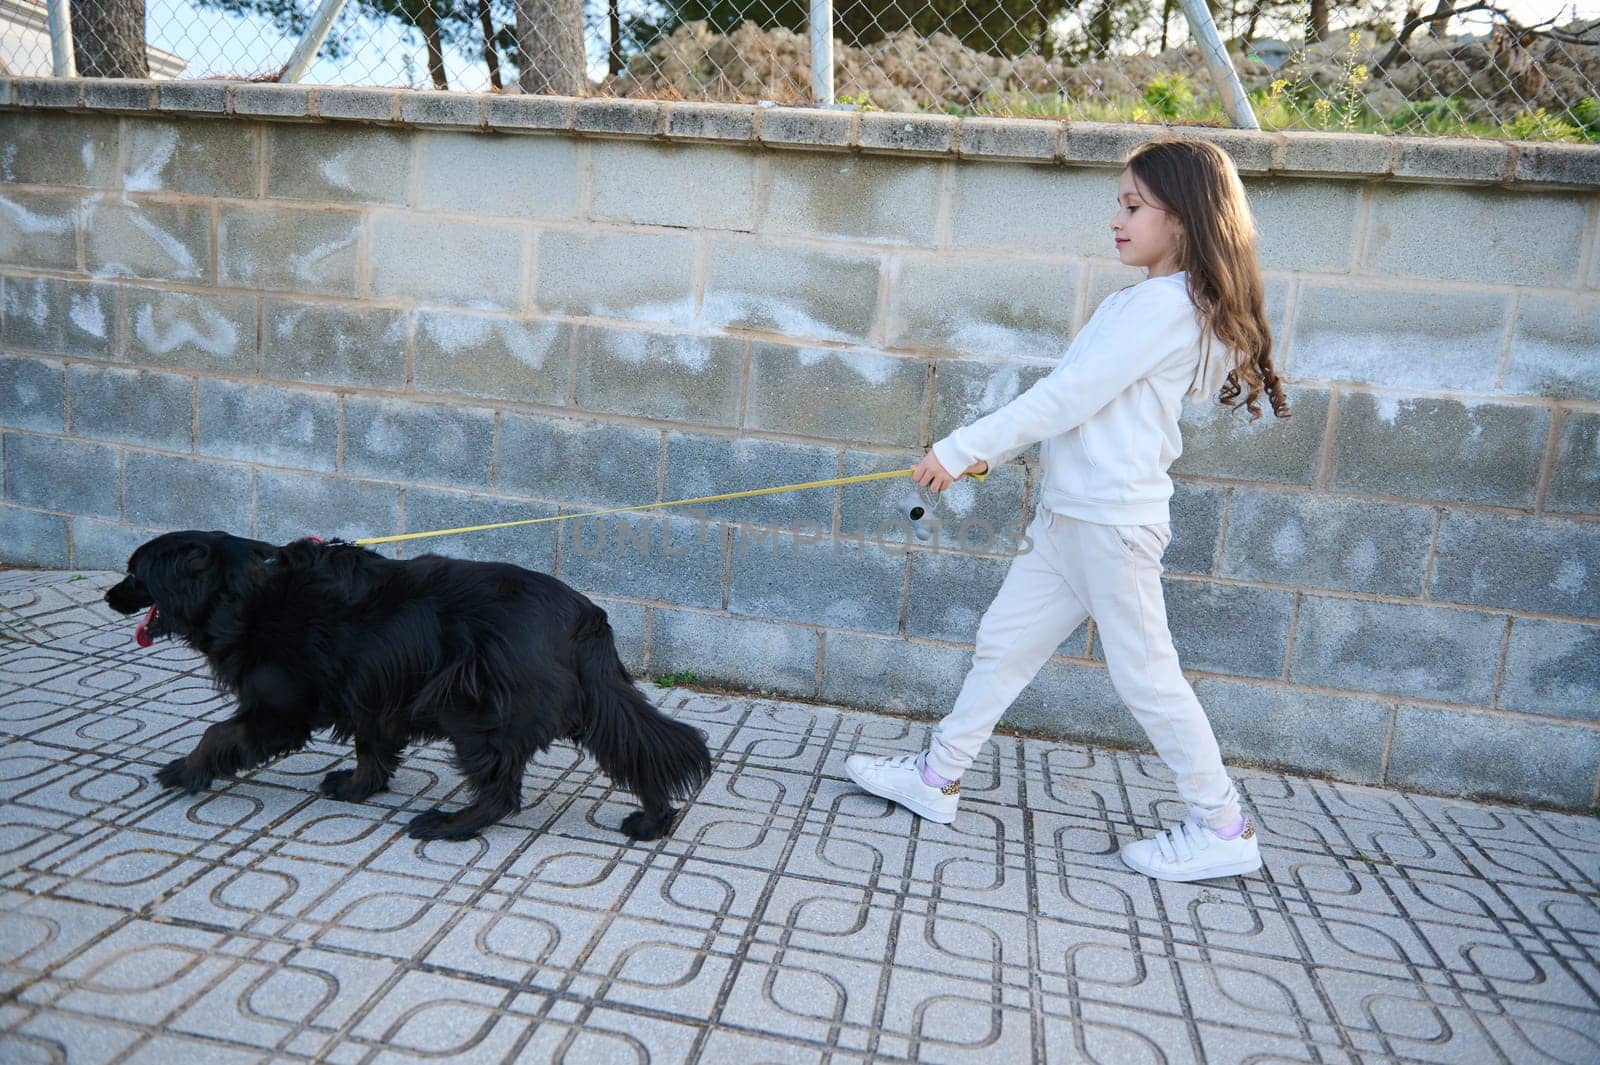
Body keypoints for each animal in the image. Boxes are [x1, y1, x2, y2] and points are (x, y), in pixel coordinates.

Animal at [103, 530, 710, 837]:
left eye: (135, 572)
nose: (109, 596)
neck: (243, 588)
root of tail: (583, 616)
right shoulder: (372, 693)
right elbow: (371, 749)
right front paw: (357, 788)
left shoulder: (280, 707)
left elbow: (216, 735)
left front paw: (184, 772)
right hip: (590, 702)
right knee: (636, 747)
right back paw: (653, 820)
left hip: (473, 711)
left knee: (502, 792)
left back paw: (449, 825)